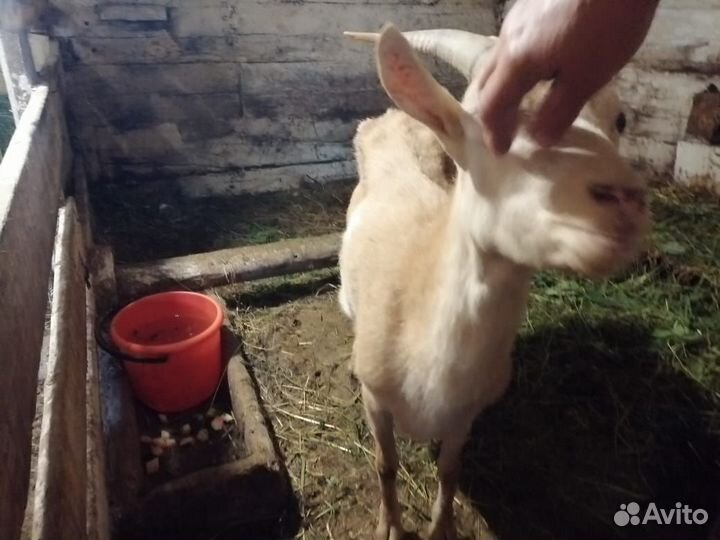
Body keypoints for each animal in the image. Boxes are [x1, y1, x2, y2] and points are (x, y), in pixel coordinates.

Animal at [338, 24, 650, 540]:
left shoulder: (467, 413)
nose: (623, 198)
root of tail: (390, 119)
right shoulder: (376, 396)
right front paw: (390, 526)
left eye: (619, 119)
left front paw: (441, 527)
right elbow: (385, 463)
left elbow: (449, 469)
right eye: (486, 126)